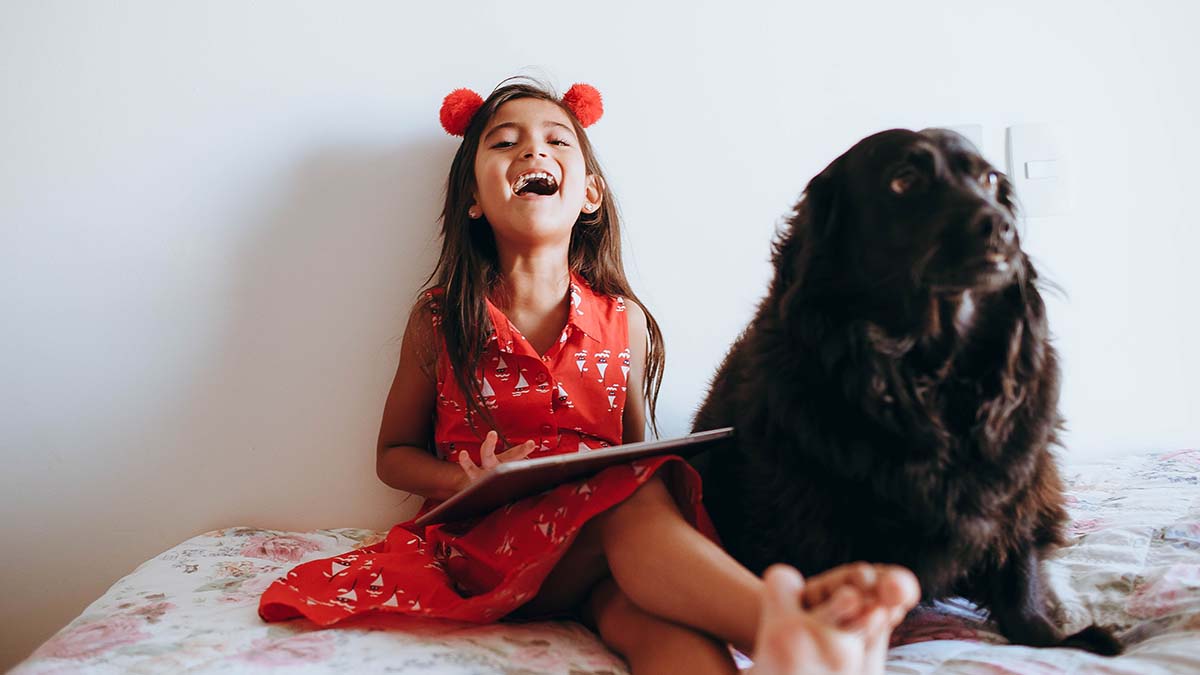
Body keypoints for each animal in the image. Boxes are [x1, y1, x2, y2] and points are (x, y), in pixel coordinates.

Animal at [691, 127, 1118, 653]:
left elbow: (1020, 577)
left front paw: (1052, 638)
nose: (1002, 228)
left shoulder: (1016, 485)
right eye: (904, 180)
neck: (931, 372)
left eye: (989, 179)